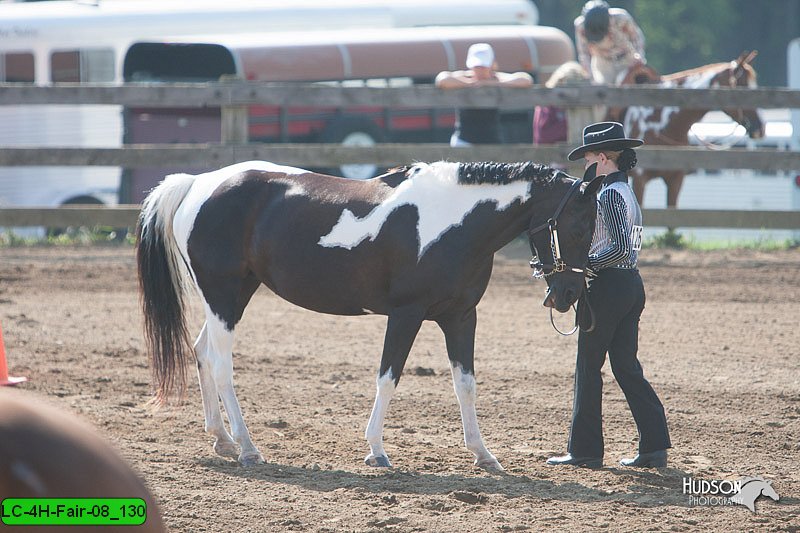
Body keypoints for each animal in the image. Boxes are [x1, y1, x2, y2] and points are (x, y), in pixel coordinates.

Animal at [136, 160, 600, 468]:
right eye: (578, 227)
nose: (569, 294)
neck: (452, 221)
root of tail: (198, 183)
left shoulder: (461, 317)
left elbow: (465, 385)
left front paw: (483, 454)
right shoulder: (406, 314)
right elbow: (388, 378)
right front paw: (376, 450)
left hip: (230, 298)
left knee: (201, 352)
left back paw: (223, 441)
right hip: (223, 297)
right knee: (220, 365)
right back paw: (248, 447)